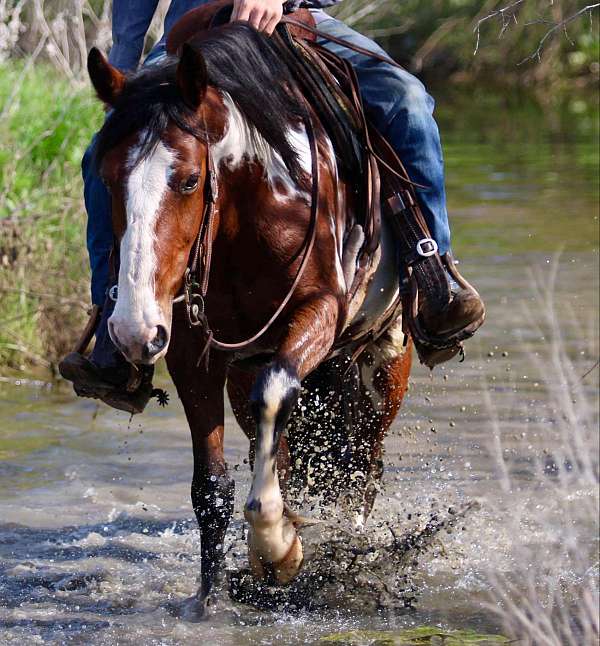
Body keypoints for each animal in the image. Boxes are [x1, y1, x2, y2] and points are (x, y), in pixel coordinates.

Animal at [88, 22, 412, 616]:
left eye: (189, 180)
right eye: (105, 179)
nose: (131, 330)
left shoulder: (319, 312)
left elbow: (276, 391)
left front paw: (276, 547)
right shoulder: (190, 351)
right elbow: (211, 489)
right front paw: (207, 599)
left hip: (381, 375)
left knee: (360, 470)